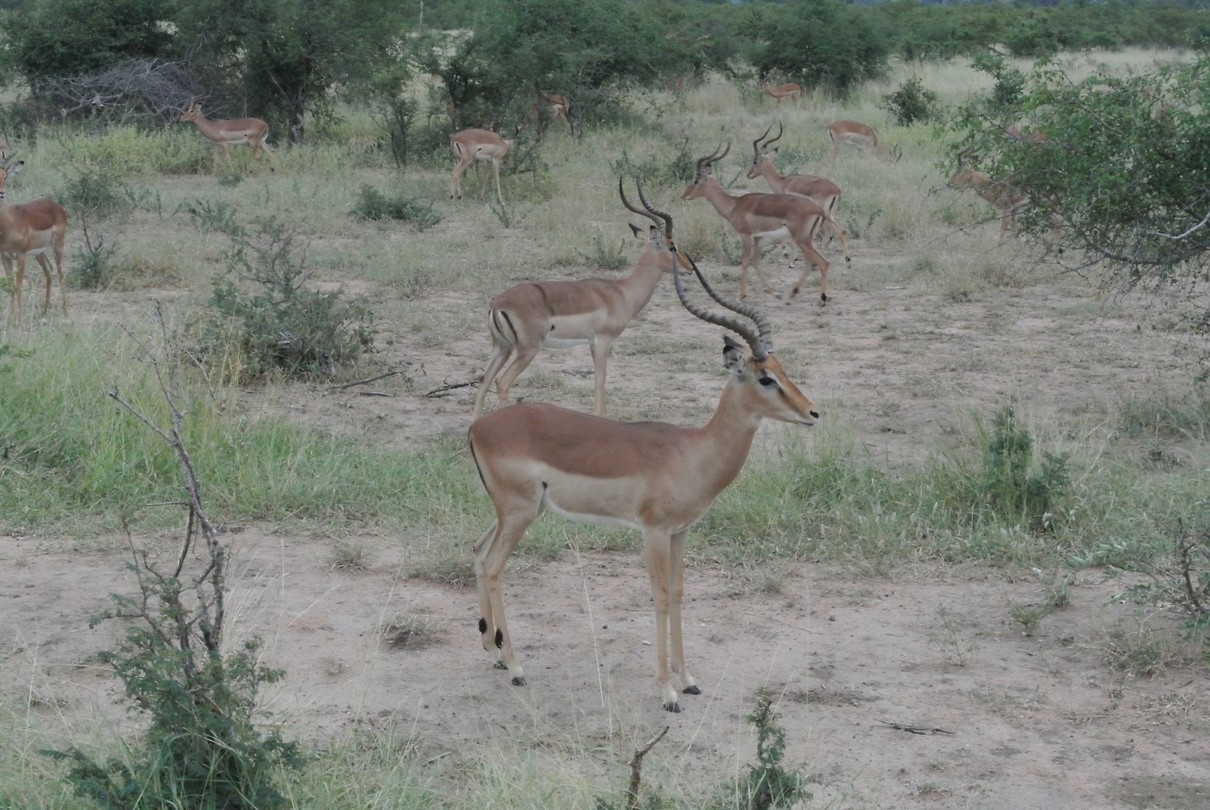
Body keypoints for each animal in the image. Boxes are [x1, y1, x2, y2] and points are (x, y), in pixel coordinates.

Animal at [0, 155, 68, 318]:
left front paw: (18, 320)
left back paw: (66, 313)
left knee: (60, 272)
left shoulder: (20, 256)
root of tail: (57, 207)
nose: (1, 193)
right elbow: (11, 286)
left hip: (57, 246)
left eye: (5, 176)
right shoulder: (4, 256)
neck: (9, 221)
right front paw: (11, 319)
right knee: (48, 271)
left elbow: (18, 287)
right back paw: (44, 312)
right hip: (40, 253)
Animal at [468, 231, 819, 712]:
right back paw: (517, 667)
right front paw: (668, 692)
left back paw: (494, 652)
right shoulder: (653, 531)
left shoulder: (681, 532)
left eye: (783, 369)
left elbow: (681, 593)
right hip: (519, 514)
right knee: (494, 567)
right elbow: (660, 597)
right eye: (765, 377)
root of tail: (477, 427)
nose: (812, 413)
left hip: (512, 511)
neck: (691, 453)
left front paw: (688, 679)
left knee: (477, 552)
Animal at [473, 178, 691, 419]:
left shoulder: (591, 343)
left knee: (483, 380)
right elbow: (600, 380)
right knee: (502, 382)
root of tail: (498, 304)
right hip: (527, 350)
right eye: (672, 246)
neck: (622, 292)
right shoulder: (603, 340)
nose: (689, 267)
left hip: (502, 347)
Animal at [683, 143, 834, 306]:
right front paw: (775, 293)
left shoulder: (745, 235)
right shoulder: (759, 238)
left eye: (695, 180)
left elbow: (745, 262)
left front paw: (740, 296)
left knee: (823, 263)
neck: (735, 205)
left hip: (802, 240)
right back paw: (791, 294)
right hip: (805, 241)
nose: (684, 195)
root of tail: (818, 210)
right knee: (810, 263)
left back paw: (820, 301)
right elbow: (755, 262)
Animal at [747, 122, 849, 263]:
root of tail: (837, 190)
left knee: (840, 231)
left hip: (826, 214)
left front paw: (789, 258)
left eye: (755, 161)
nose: (748, 175)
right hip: (830, 215)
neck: (782, 181)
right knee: (829, 234)